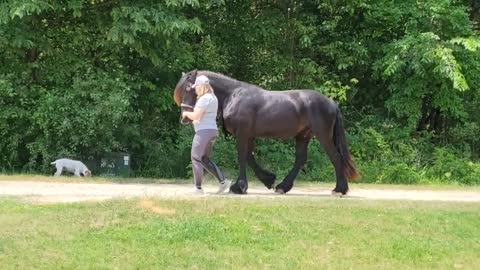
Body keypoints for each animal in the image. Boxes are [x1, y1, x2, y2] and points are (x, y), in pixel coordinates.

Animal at [174, 70, 358, 195]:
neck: (233, 96)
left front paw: (239, 187)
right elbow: (249, 158)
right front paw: (268, 179)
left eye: (189, 88)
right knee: (300, 159)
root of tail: (331, 103)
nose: (185, 117)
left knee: (335, 157)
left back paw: (339, 189)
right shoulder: (249, 136)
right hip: (303, 136)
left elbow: (242, 158)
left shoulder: (242, 134)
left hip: (323, 136)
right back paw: (283, 187)